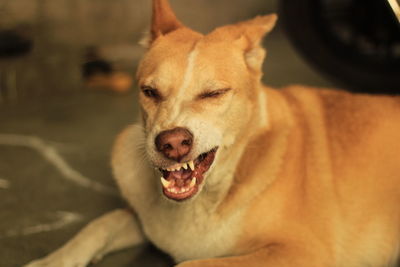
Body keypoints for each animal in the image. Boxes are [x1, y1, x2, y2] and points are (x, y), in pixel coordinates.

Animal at [25, 0, 400, 267]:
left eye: (214, 93)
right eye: (150, 92)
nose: (173, 143)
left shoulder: (303, 251)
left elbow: (192, 264)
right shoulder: (145, 220)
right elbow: (99, 224)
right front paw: (48, 262)